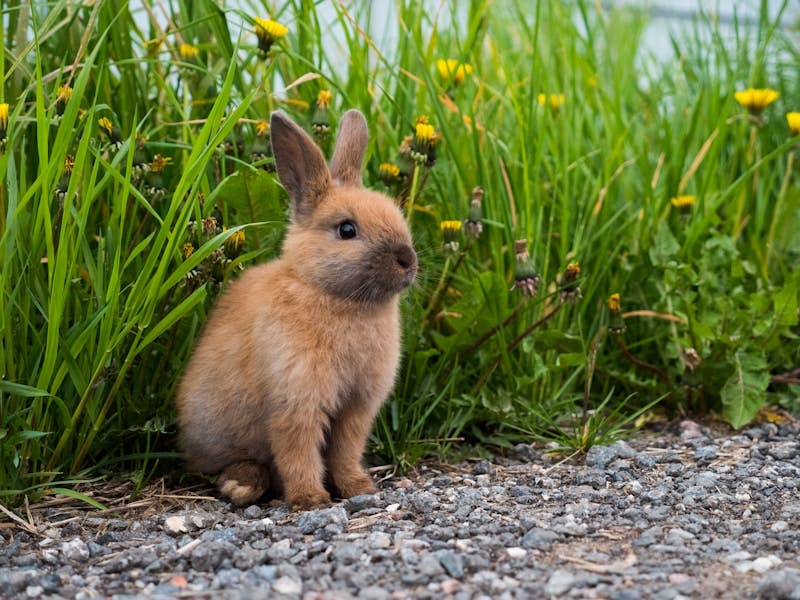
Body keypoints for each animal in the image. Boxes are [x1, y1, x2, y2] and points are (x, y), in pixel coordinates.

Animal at [177, 109, 418, 510]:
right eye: (347, 229)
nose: (407, 260)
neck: (332, 295)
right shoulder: (295, 401)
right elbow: (298, 452)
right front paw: (310, 499)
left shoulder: (356, 407)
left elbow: (345, 450)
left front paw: (358, 487)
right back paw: (241, 484)